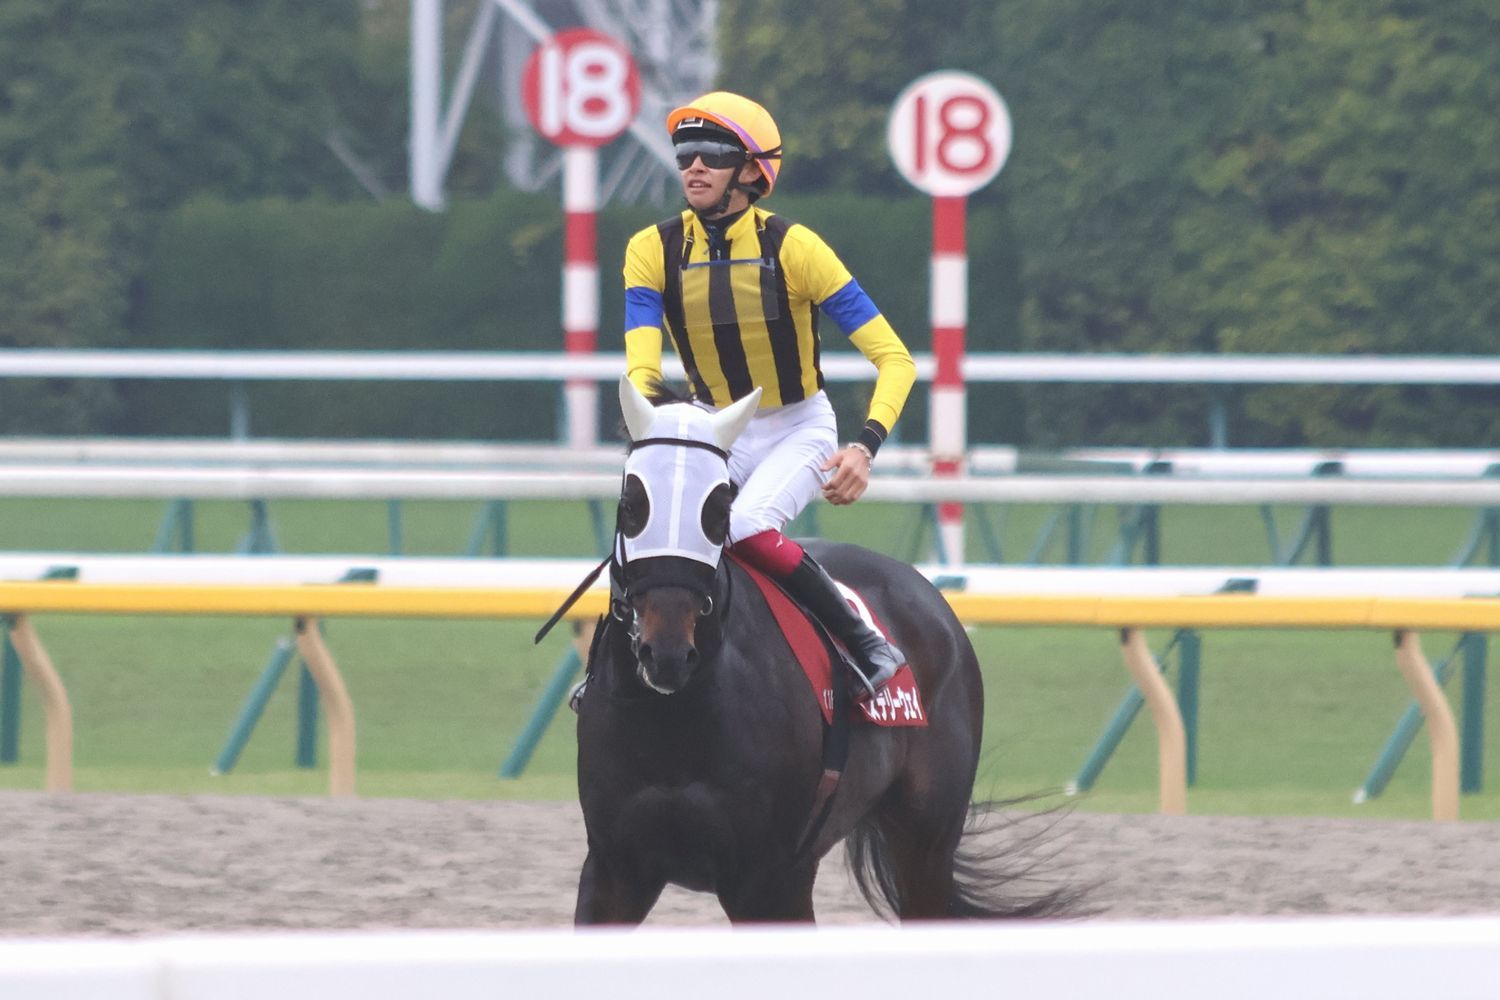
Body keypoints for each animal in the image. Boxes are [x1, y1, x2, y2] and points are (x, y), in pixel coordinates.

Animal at [572, 377, 1069, 924]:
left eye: (718, 511)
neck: (675, 719)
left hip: (925, 844)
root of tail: (929, 593)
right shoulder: (615, 868)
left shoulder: (767, 877)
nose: (666, 652)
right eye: (631, 505)